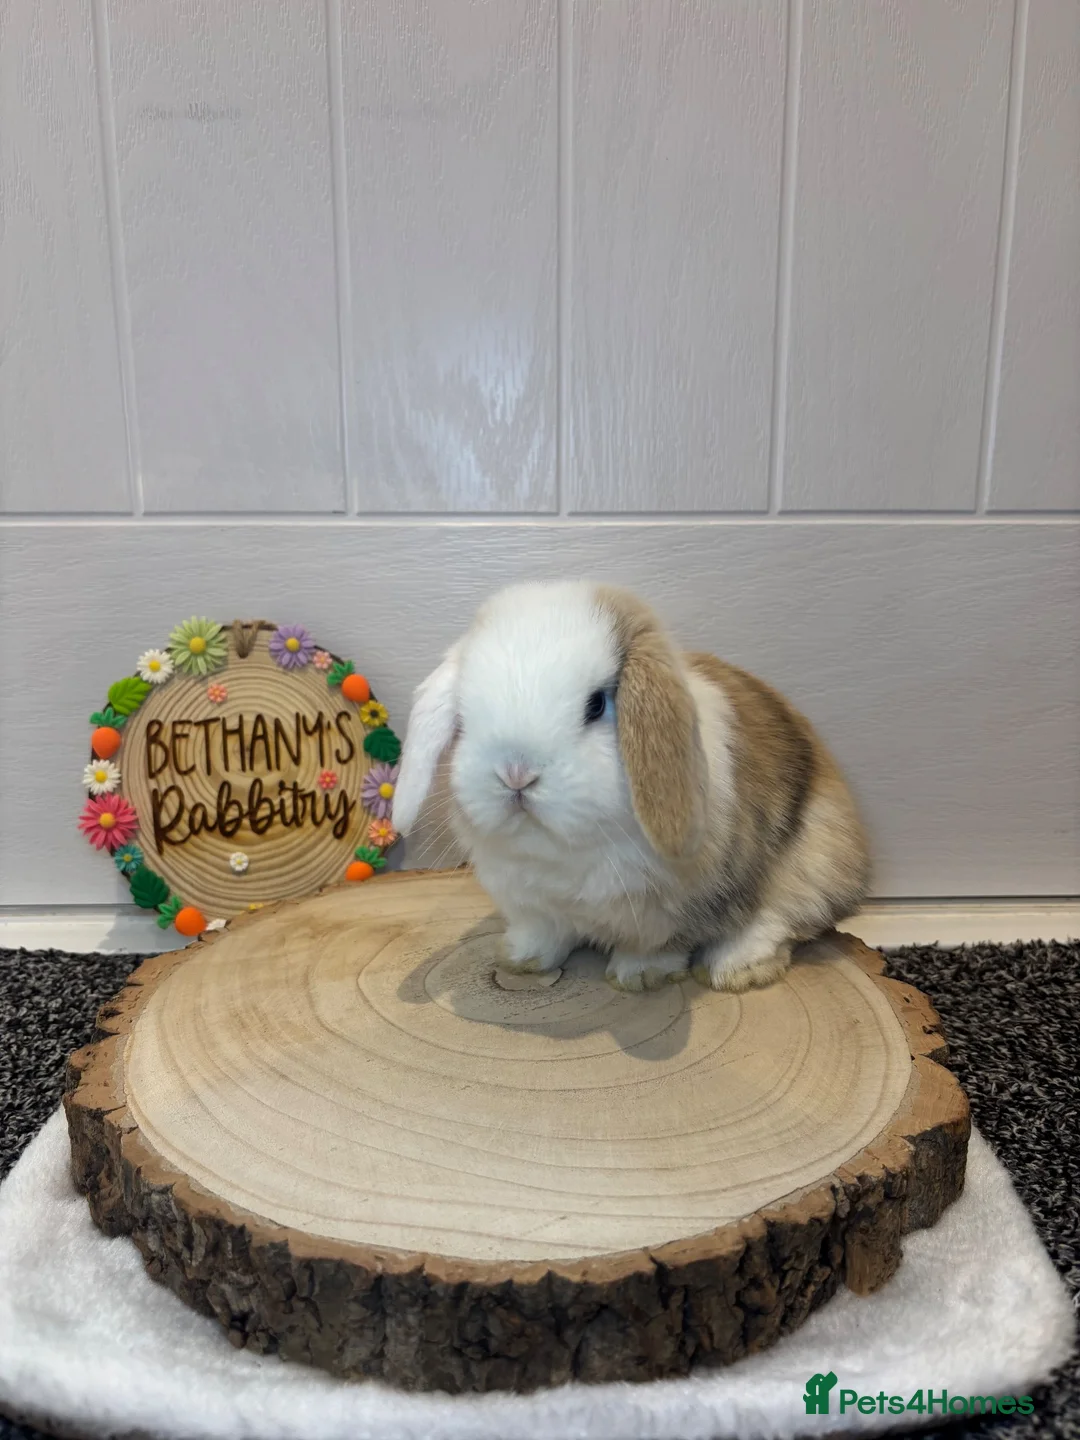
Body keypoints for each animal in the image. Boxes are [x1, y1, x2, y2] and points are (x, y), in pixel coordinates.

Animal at [391, 581, 870, 993]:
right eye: (463, 714)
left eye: (596, 704)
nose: (516, 775)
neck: (562, 852)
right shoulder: (532, 905)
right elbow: (544, 934)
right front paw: (521, 958)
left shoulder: (669, 912)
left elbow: (657, 947)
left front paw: (639, 977)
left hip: (816, 859)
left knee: (782, 918)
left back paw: (734, 968)